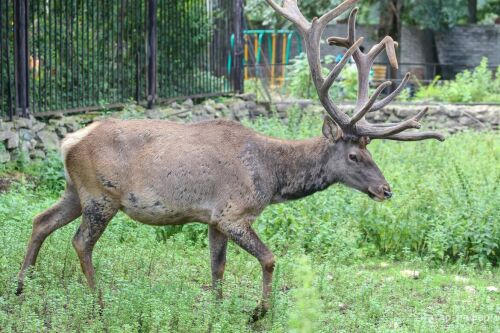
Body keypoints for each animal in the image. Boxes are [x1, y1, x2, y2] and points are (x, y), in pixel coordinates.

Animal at [17, 0, 444, 320]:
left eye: (371, 152)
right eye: (355, 155)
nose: (386, 190)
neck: (271, 179)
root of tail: (68, 141)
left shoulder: (212, 219)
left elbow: (217, 269)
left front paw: (217, 311)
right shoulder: (232, 212)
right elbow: (270, 259)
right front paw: (258, 312)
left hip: (76, 191)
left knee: (40, 221)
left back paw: (23, 287)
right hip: (101, 195)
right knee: (79, 241)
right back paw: (99, 304)